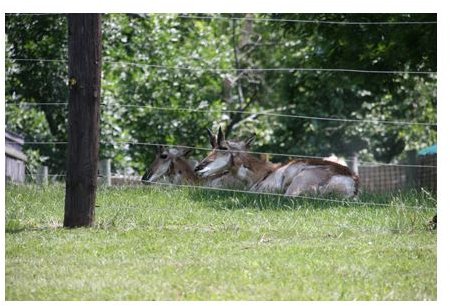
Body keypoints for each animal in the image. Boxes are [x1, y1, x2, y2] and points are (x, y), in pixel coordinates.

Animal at [195, 126, 360, 198]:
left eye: (223, 147)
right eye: (212, 146)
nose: (198, 168)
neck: (264, 172)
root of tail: (352, 180)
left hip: (295, 187)